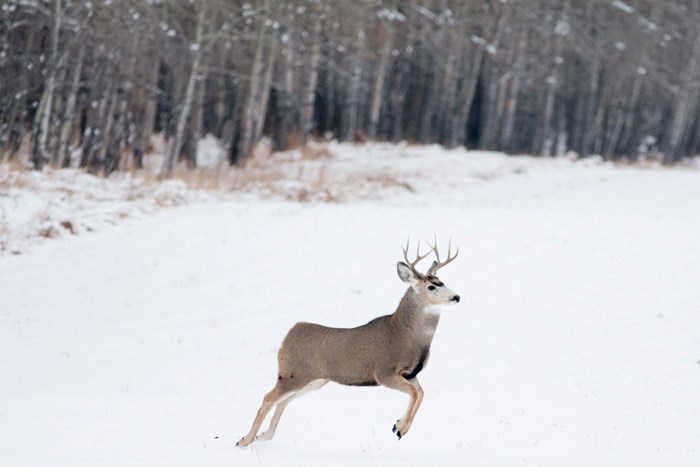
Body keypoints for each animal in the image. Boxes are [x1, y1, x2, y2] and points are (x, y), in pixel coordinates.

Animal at [238, 239, 462, 448]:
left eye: (442, 281)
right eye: (431, 286)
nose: (456, 296)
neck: (406, 336)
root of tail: (288, 335)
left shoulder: (410, 374)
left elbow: (421, 393)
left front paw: (399, 427)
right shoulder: (384, 371)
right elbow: (415, 393)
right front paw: (399, 428)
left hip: (314, 380)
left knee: (283, 401)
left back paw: (263, 435)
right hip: (293, 373)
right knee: (268, 398)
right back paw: (244, 440)